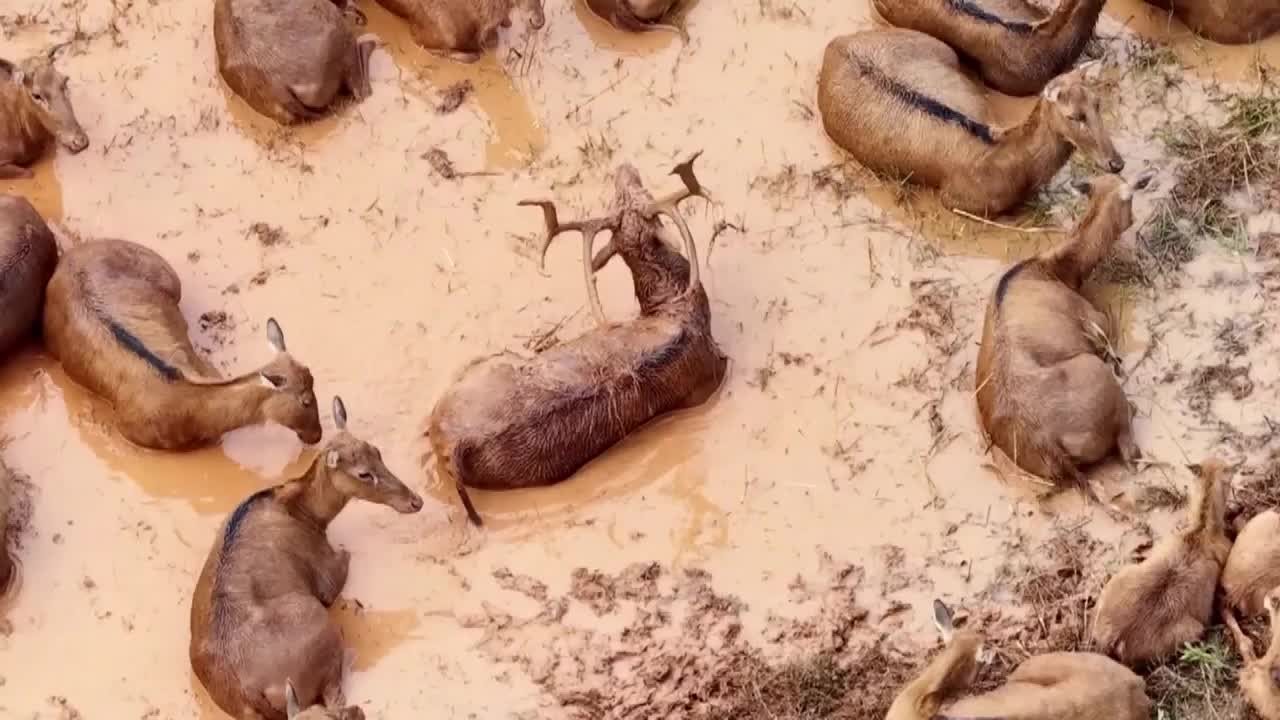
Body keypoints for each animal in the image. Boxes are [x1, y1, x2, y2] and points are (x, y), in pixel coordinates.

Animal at [190, 396, 422, 720]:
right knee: (338, 696)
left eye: (377, 451)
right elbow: (346, 555)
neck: (309, 513)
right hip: (322, 630)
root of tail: (250, 693)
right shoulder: (326, 577)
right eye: (363, 473)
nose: (415, 501)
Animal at [426, 152, 728, 526]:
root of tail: (449, 445)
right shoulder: (712, 375)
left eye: (627, 196)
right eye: (637, 194)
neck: (674, 304)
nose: (624, 168)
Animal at [974, 172, 1155, 502]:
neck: (1054, 267)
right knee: (1129, 450)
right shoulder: (1097, 322)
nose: (1133, 219)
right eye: (1131, 197)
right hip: (1099, 376)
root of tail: (1048, 444)